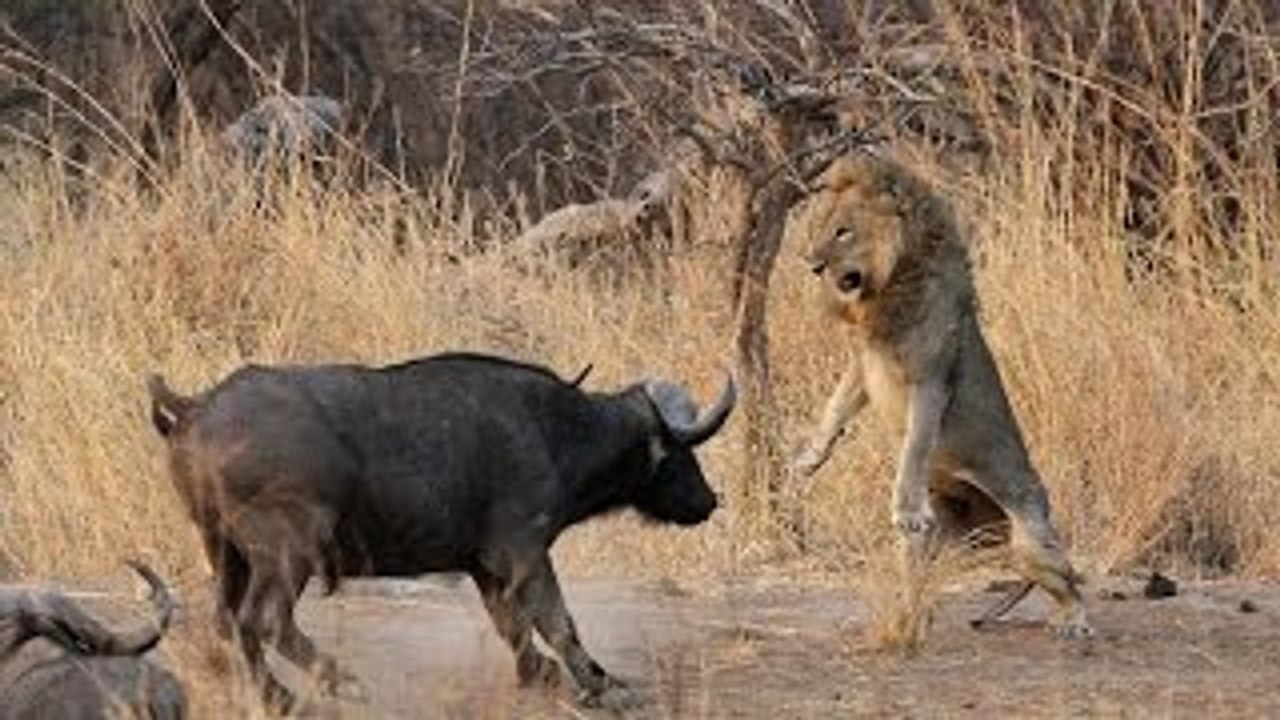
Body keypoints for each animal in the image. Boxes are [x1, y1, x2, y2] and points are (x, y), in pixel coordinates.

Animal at [791, 153, 1091, 638]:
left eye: (843, 231)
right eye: (822, 226)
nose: (812, 264)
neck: (887, 286)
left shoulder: (931, 380)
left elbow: (915, 447)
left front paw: (906, 505)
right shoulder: (866, 363)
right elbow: (835, 406)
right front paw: (809, 459)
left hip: (1030, 542)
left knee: (1071, 580)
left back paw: (1074, 621)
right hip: (939, 541)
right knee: (918, 572)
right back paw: (908, 617)